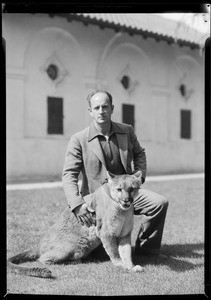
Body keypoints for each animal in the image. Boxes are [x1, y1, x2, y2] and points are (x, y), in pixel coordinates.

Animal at [7, 171, 143, 278]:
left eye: (131, 189)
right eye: (119, 189)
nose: (126, 200)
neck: (123, 210)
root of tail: (39, 245)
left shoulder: (125, 234)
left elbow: (126, 252)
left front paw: (131, 266)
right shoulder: (106, 233)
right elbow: (114, 252)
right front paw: (120, 265)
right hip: (73, 245)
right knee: (43, 259)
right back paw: (74, 262)